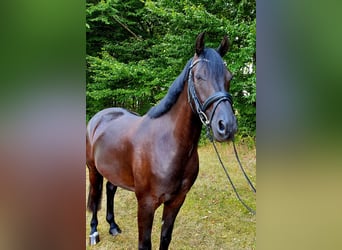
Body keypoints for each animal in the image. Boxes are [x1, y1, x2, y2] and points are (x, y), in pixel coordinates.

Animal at [87, 32, 236, 249]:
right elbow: (145, 243)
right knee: (95, 195)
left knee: (110, 189)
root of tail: (99, 117)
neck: (168, 147)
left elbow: (165, 237)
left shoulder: (176, 200)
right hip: (93, 170)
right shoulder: (146, 204)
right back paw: (94, 232)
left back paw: (113, 226)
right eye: (199, 76)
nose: (227, 126)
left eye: (229, 77)